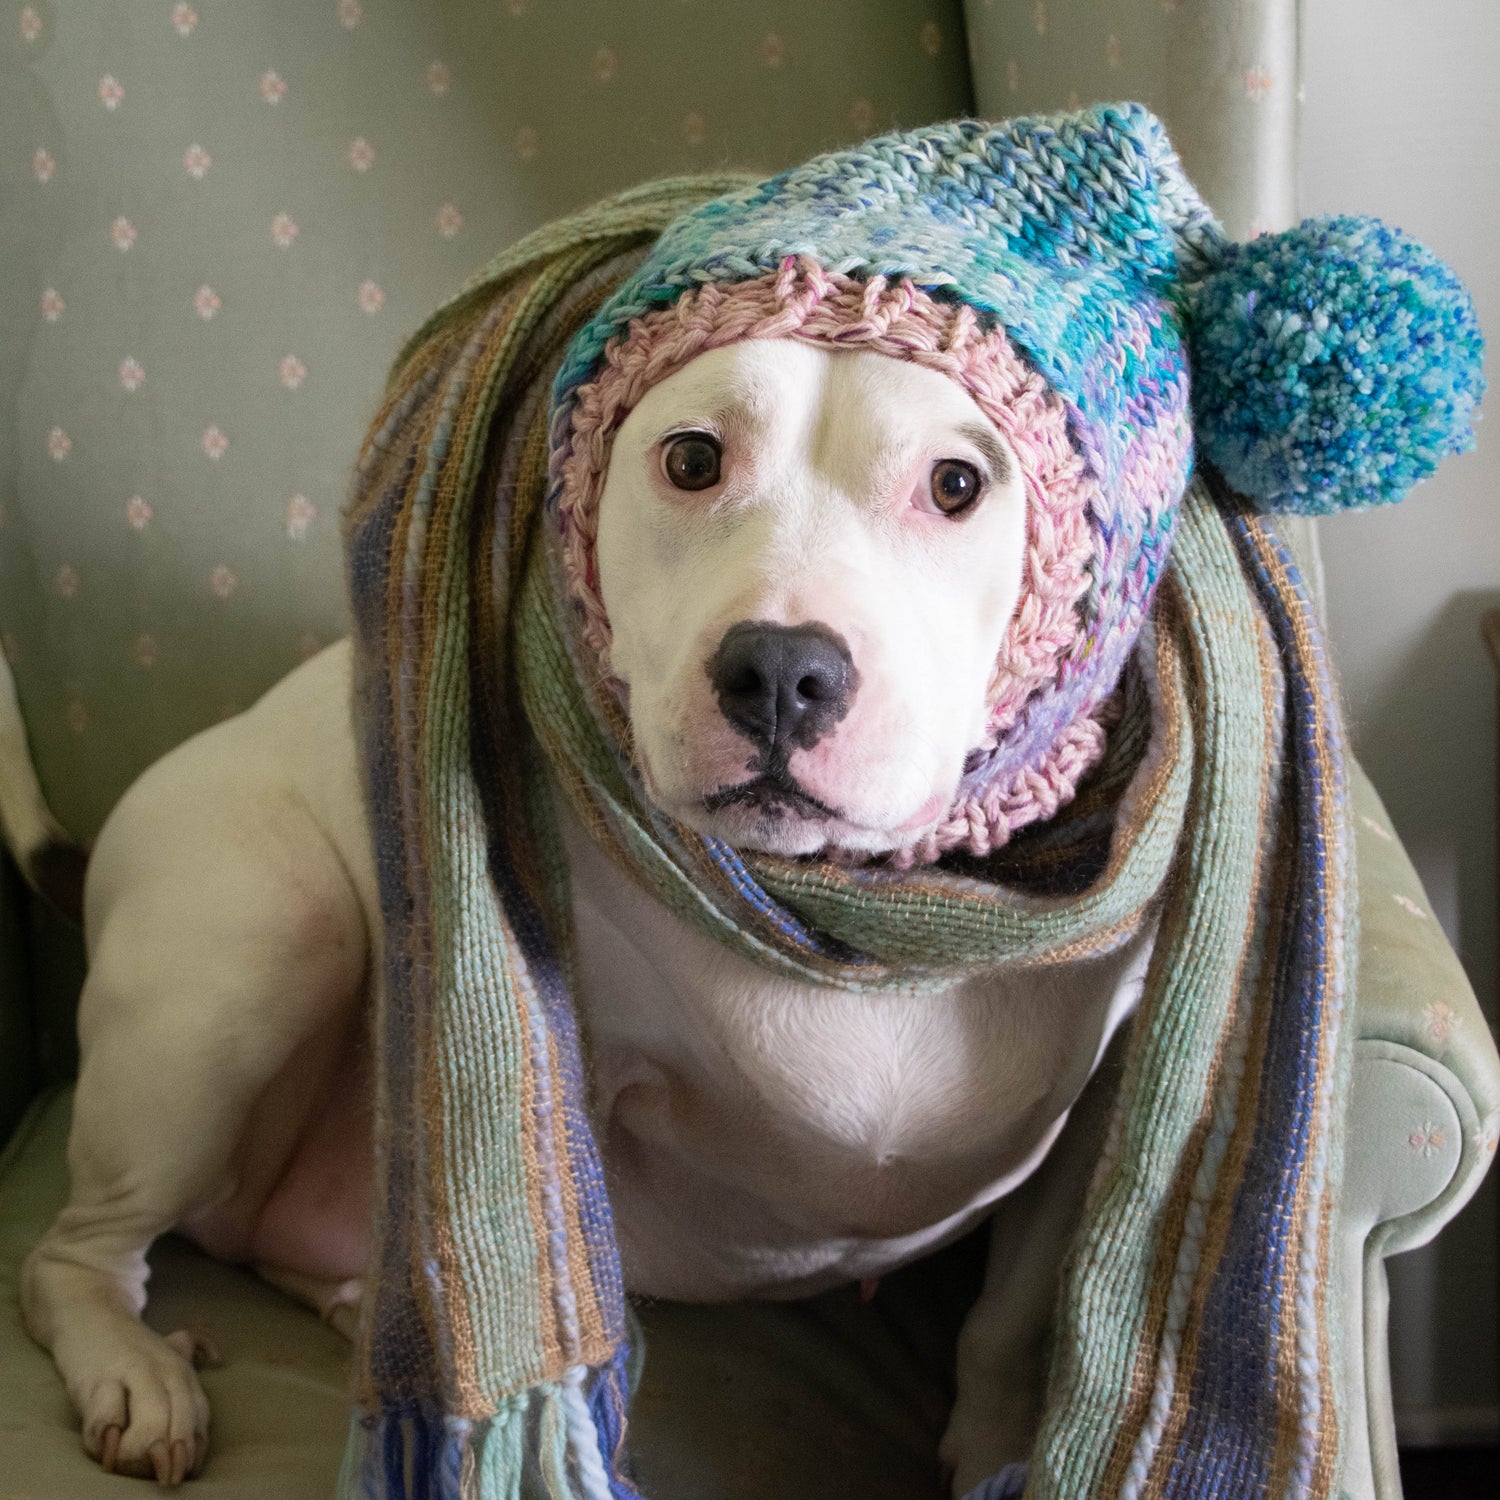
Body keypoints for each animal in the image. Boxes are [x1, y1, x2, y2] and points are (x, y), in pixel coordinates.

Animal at [11, 337, 1152, 1488]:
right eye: (691, 459)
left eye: (957, 484)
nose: (781, 668)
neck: (851, 921)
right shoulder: (572, 1087)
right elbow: (572, 1290)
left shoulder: (1104, 1111)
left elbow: (1015, 1321)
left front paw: (1006, 1456)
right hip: (270, 940)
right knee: (72, 1256)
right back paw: (137, 1372)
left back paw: (367, 1302)